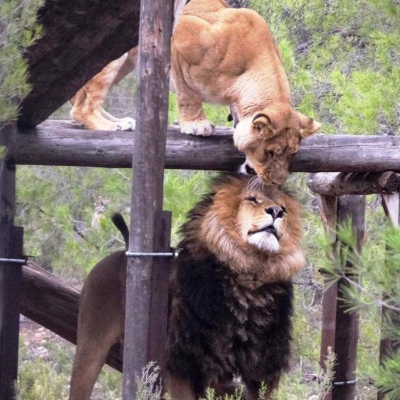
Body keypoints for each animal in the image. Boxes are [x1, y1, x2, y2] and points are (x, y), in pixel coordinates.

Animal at [70, 175, 304, 400]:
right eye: (252, 199)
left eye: (283, 206)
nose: (276, 211)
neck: (248, 284)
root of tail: (122, 252)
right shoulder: (181, 365)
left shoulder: (264, 369)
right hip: (91, 343)